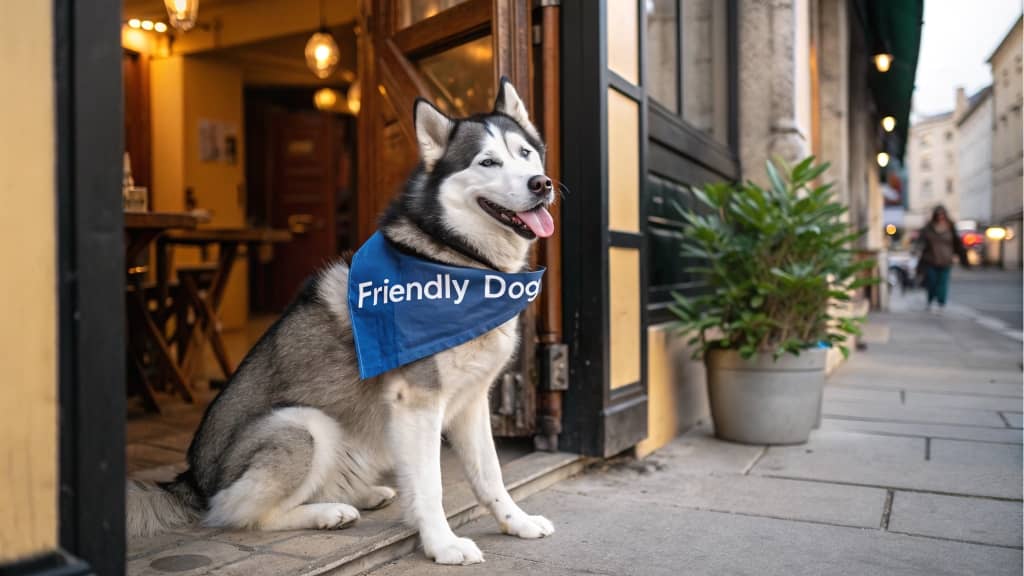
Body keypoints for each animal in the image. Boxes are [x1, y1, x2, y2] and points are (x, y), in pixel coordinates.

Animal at [133, 78, 561, 561]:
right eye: (487, 162)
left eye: (525, 153)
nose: (541, 184)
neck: (459, 262)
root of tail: (190, 480)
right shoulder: (418, 402)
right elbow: (431, 486)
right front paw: (442, 544)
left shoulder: (471, 400)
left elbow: (491, 475)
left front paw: (516, 523)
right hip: (304, 425)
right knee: (236, 512)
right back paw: (327, 512)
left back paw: (361, 494)